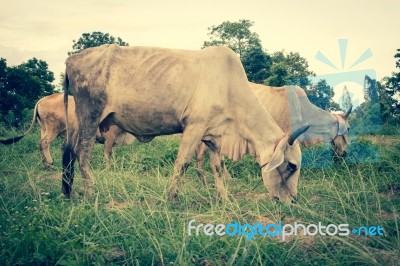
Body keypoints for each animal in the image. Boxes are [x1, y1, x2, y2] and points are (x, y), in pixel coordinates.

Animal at [0, 94, 135, 166]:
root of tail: (44, 99)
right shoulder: (109, 138)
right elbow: (107, 154)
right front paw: (109, 167)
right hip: (53, 128)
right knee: (44, 143)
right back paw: (49, 162)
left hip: (44, 128)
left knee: (41, 144)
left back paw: (45, 162)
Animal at [63, 44, 310, 203]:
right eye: (291, 166)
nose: (293, 200)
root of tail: (71, 59)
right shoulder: (194, 127)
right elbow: (182, 163)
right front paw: (170, 199)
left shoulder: (213, 135)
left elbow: (217, 167)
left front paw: (224, 199)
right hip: (90, 115)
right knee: (82, 154)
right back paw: (90, 192)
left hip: (81, 121)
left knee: (69, 152)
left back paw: (68, 191)